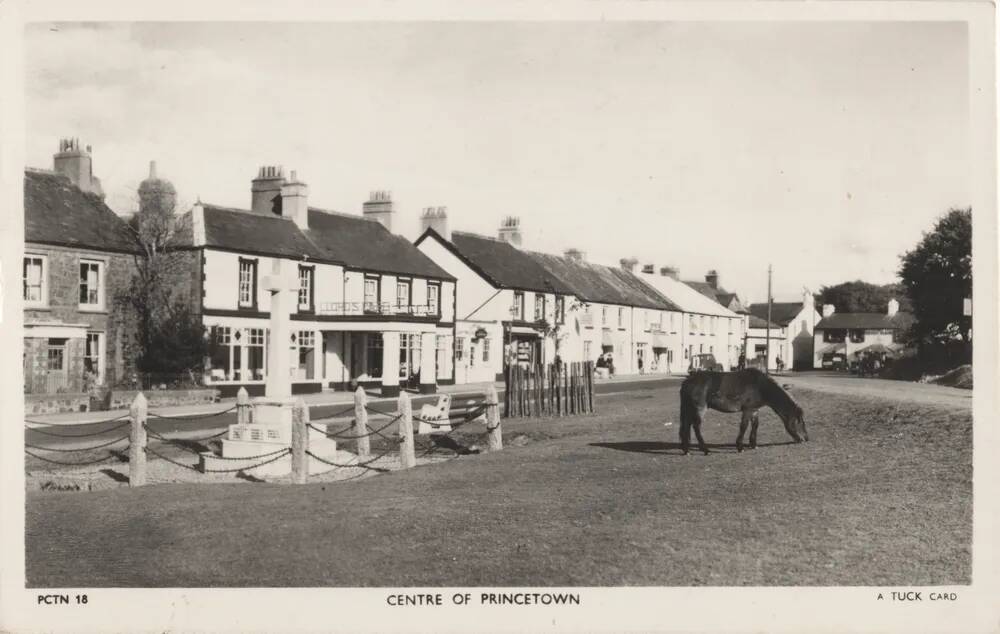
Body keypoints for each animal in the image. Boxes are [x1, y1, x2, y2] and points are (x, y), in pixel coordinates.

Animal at [676, 366, 808, 454]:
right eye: (799, 422)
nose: (805, 439)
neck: (762, 387)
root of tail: (687, 381)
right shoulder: (747, 410)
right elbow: (744, 426)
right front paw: (740, 447)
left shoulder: (754, 410)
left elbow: (755, 425)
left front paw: (753, 444)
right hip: (699, 408)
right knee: (696, 426)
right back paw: (705, 449)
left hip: (689, 408)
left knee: (687, 426)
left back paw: (686, 449)